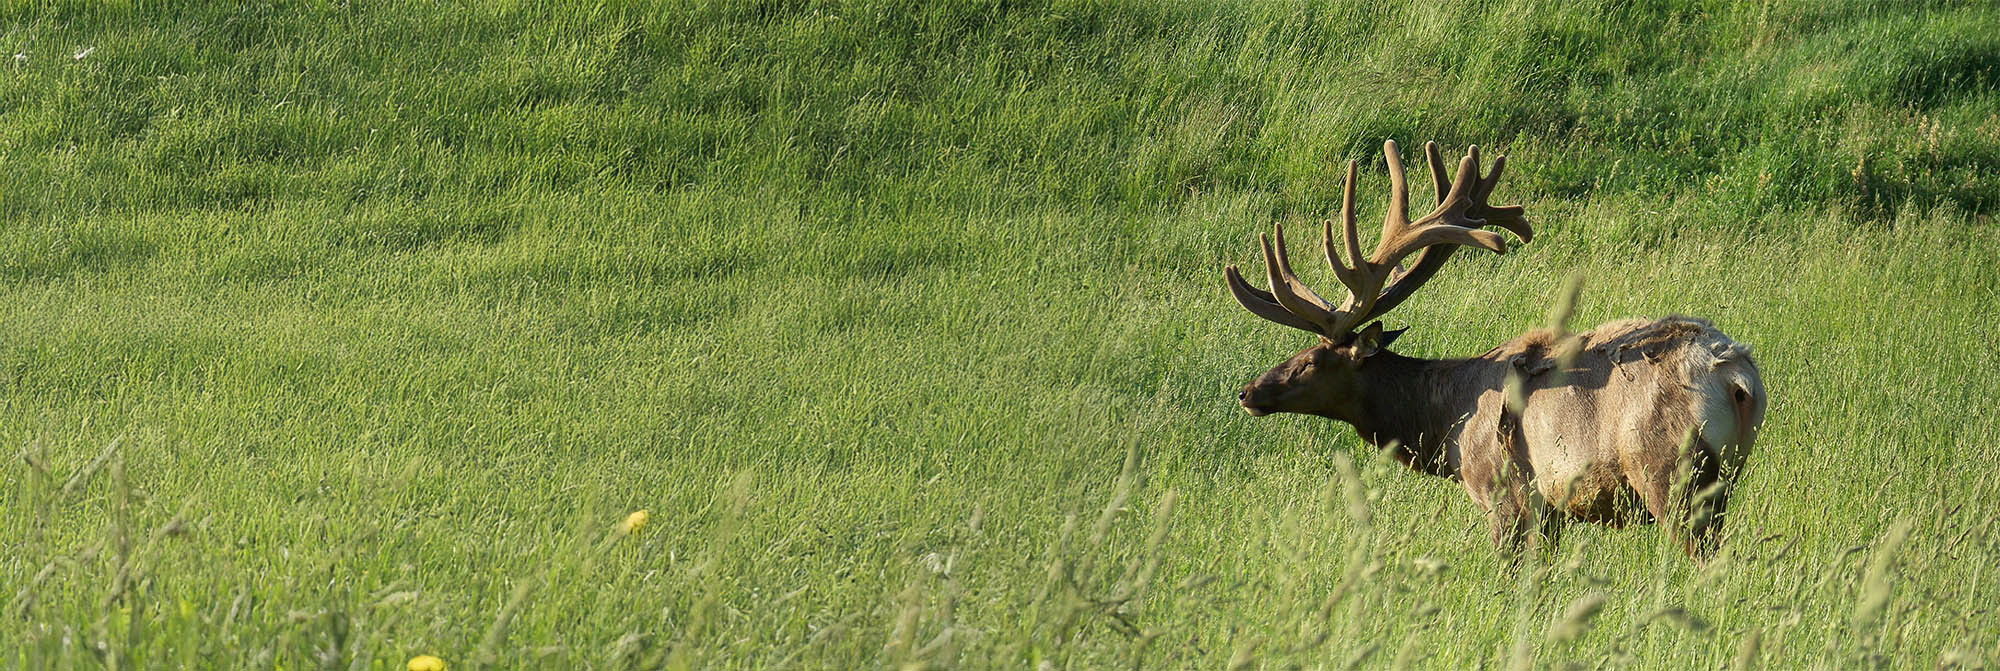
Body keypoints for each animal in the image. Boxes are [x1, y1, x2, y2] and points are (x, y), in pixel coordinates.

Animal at [1224, 140, 1765, 561]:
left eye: (1312, 360)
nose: (1248, 392)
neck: (1446, 424)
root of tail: (1736, 377)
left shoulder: (1506, 491)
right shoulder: (1549, 509)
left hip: (1671, 471)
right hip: (1722, 480)